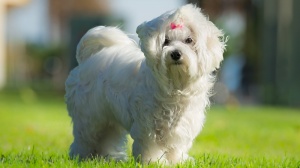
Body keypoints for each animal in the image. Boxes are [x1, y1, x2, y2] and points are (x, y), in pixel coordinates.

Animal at [65, 3, 225, 164]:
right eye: (166, 41)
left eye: (189, 40)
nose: (175, 53)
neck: (175, 84)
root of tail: (88, 59)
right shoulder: (148, 125)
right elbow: (151, 145)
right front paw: (154, 162)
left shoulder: (181, 125)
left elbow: (175, 147)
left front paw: (177, 161)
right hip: (89, 116)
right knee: (86, 138)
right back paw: (82, 157)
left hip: (107, 118)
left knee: (107, 137)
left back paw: (107, 158)